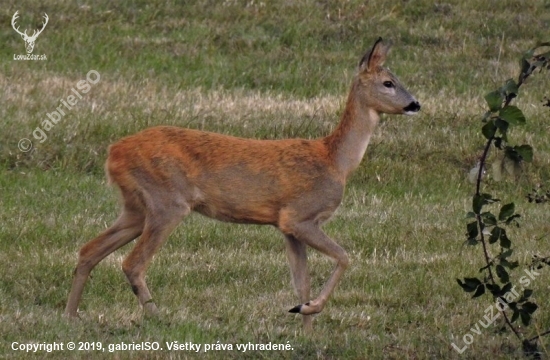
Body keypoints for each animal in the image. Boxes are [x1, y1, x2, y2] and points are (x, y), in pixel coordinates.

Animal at [63, 38, 422, 330]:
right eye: (388, 82)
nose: (416, 104)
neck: (335, 160)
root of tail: (113, 151)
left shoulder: (286, 226)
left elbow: (301, 282)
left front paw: (306, 324)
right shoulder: (299, 216)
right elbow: (345, 257)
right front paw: (310, 310)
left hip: (136, 207)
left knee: (90, 250)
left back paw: (71, 316)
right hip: (167, 201)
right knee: (132, 263)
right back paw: (159, 318)